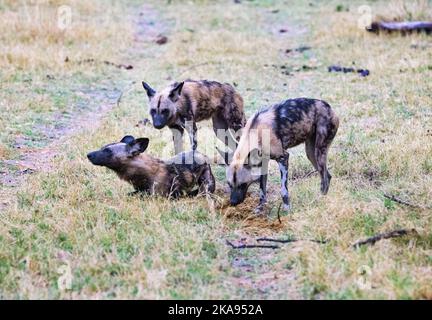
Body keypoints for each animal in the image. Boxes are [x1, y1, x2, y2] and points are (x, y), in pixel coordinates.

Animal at [87, 135, 215, 198]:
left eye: (108, 151)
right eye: (103, 147)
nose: (88, 154)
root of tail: (201, 154)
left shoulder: (154, 196)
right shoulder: (140, 191)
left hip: (206, 186)